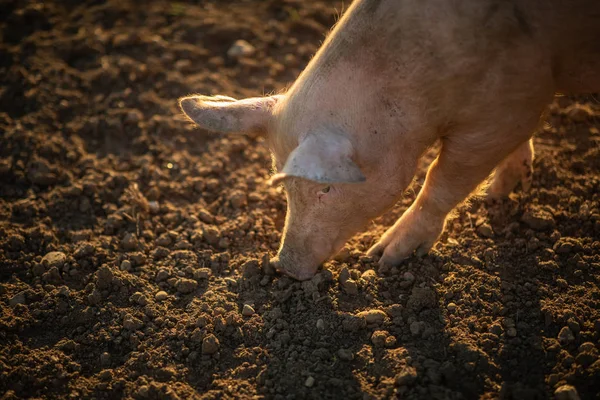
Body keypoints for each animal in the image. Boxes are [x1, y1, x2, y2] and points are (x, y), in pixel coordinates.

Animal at [180, 0, 600, 280]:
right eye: (285, 189)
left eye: (326, 188)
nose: (284, 267)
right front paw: (498, 194)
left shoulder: (507, 106)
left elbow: (440, 178)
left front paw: (380, 258)